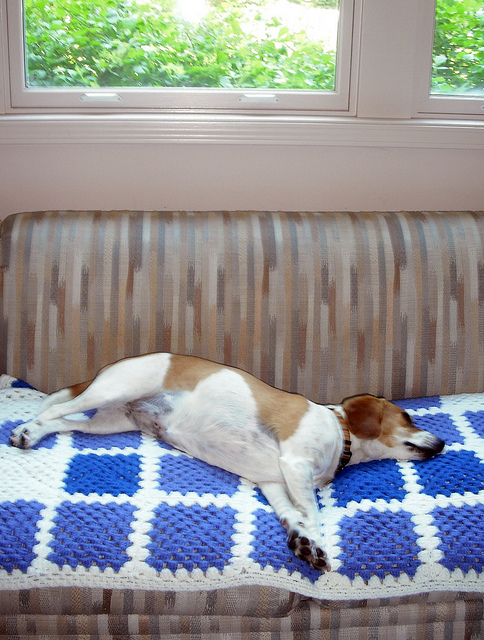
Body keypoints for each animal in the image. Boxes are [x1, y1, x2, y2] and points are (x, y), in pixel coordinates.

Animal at [10, 353, 445, 571]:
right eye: (407, 416)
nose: (442, 443)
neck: (341, 432)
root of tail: (111, 367)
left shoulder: (275, 481)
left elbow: (293, 515)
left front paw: (301, 541)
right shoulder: (295, 465)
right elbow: (314, 514)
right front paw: (317, 543)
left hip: (108, 422)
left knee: (63, 423)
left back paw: (33, 434)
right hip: (114, 390)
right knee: (54, 410)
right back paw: (25, 430)